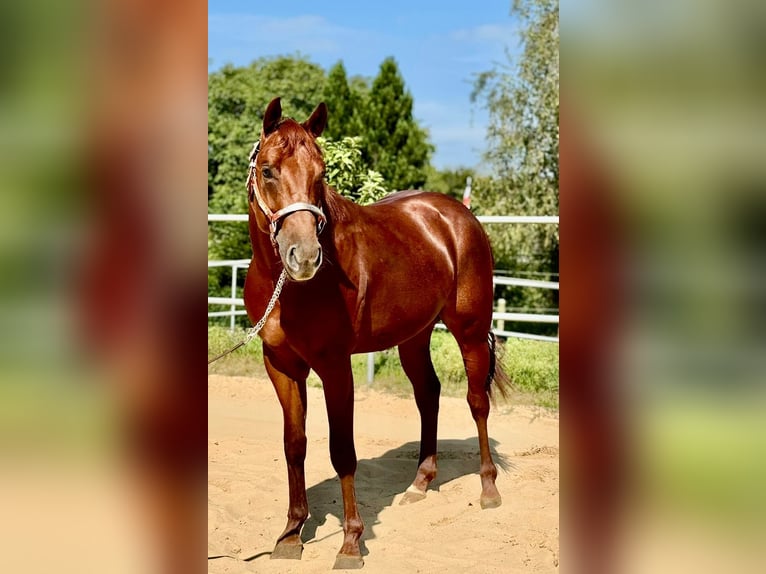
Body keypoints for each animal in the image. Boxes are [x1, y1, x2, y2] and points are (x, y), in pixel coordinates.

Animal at [246, 97, 510, 568]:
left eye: (322, 173)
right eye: (269, 171)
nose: (304, 257)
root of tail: (458, 215)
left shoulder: (334, 366)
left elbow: (342, 451)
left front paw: (351, 542)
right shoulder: (280, 365)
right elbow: (295, 444)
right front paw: (291, 535)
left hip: (470, 331)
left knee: (477, 402)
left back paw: (488, 488)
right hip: (414, 337)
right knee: (428, 393)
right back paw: (420, 483)